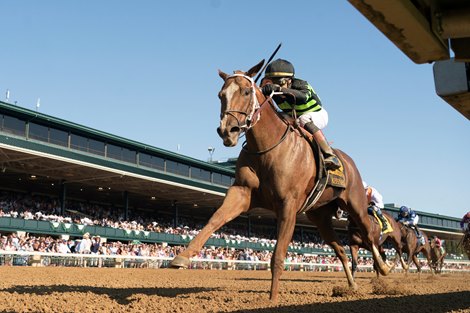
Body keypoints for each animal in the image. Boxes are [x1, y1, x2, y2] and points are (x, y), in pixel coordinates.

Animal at [171, 59, 392, 302]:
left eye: (246, 91)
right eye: (221, 95)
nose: (228, 131)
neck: (267, 147)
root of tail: (349, 161)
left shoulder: (288, 205)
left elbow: (278, 253)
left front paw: (273, 299)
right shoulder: (242, 192)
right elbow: (214, 219)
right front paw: (182, 256)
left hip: (356, 204)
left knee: (370, 236)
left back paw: (384, 267)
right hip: (319, 217)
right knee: (341, 249)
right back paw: (351, 286)